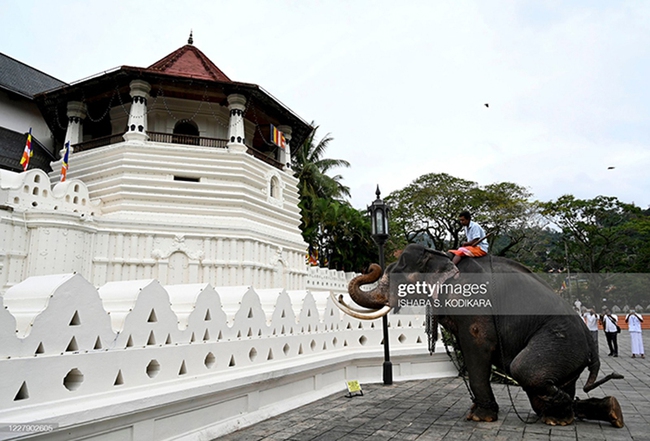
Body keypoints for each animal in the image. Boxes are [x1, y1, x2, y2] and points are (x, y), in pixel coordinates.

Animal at [334, 244, 624, 426]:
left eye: (397, 273)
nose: (370, 265)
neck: (445, 256)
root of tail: (591, 343)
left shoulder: (474, 304)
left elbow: (476, 347)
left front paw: (479, 417)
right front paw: (475, 411)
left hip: (560, 341)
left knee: (525, 371)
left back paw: (561, 414)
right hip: (567, 353)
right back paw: (598, 412)